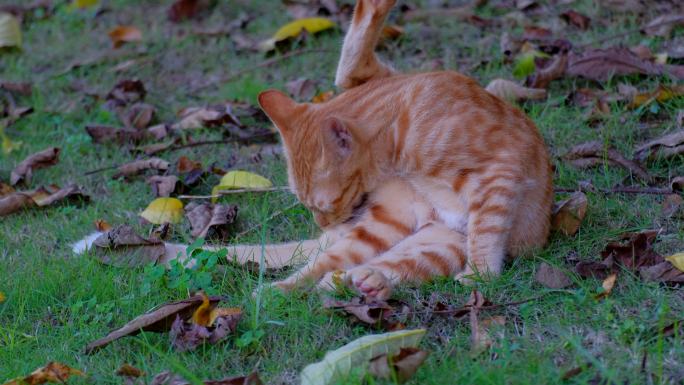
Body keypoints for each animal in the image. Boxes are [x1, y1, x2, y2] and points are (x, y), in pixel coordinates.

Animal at [186, 0, 552, 298]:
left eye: (324, 204)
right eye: (307, 205)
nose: (323, 224)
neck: (401, 132)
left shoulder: (501, 166)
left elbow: (488, 227)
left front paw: (481, 274)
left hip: (437, 243)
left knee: (387, 265)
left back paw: (361, 280)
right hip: (381, 228)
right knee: (323, 265)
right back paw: (293, 287)